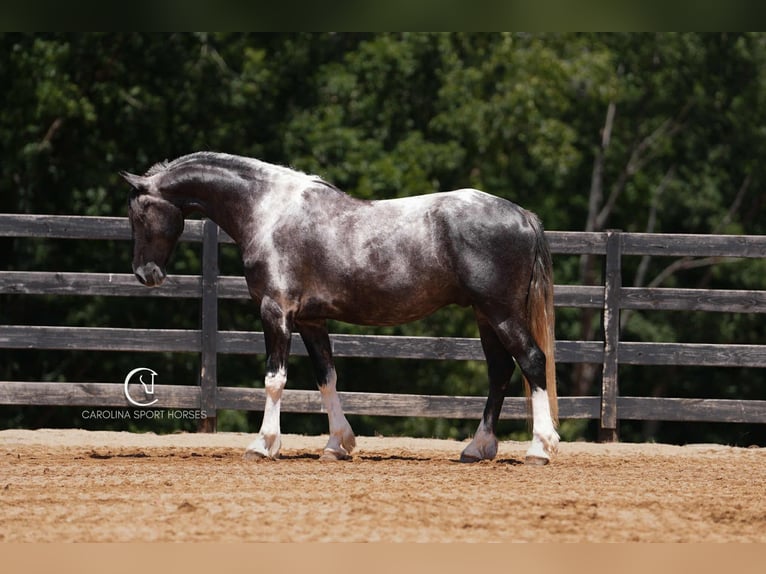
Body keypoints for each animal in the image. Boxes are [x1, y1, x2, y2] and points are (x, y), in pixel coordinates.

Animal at [122, 151, 560, 465]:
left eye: (139, 214)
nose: (146, 274)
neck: (268, 211)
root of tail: (522, 215)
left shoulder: (275, 312)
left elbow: (274, 380)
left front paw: (263, 445)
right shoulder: (312, 320)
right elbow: (326, 378)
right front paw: (337, 444)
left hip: (502, 313)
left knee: (532, 361)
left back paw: (539, 449)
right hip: (486, 316)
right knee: (500, 372)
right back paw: (477, 448)